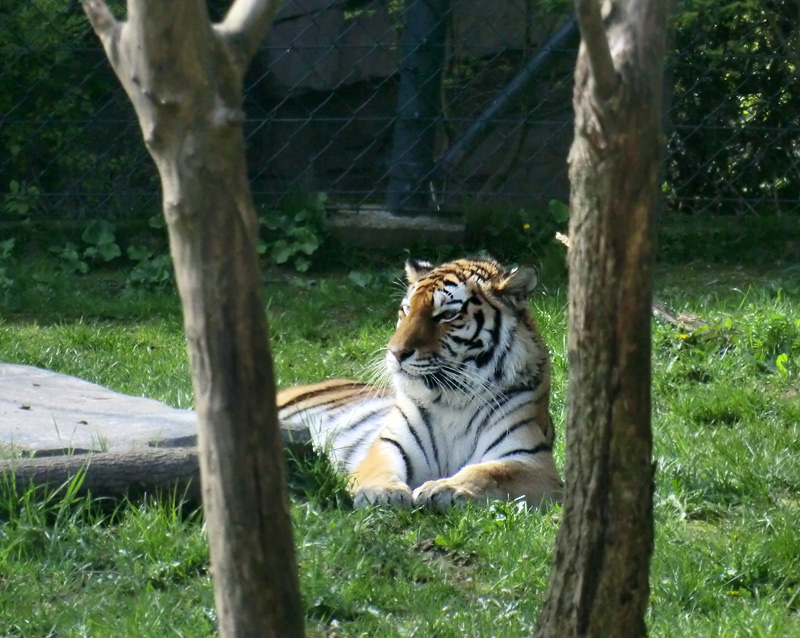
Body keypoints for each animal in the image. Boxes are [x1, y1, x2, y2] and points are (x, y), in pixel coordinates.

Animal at [278, 258, 564, 512]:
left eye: (447, 315)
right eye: (406, 310)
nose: (396, 353)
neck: (453, 397)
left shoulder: (532, 461)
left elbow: (488, 472)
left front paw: (446, 488)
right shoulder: (391, 443)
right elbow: (381, 466)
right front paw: (381, 493)